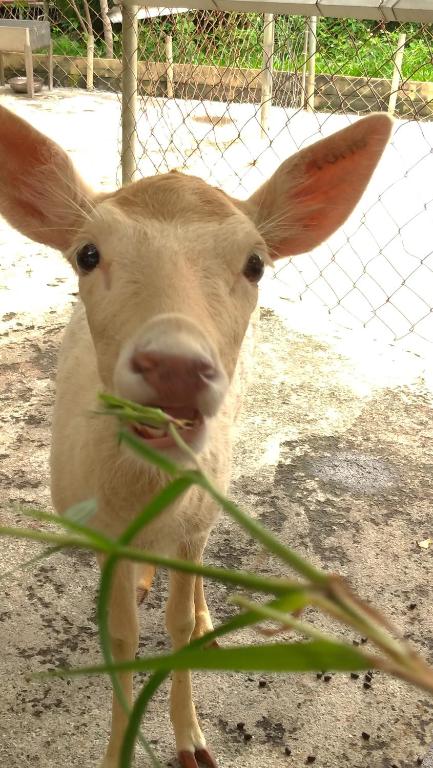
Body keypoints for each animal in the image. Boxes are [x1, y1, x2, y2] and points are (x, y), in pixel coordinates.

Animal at [0, 103, 392, 768]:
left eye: (256, 263)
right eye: (87, 254)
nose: (174, 365)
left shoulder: (196, 512)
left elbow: (175, 627)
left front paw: (192, 742)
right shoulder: (99, 531)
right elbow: (122, 635)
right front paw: (118, 751)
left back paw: (207, 617)